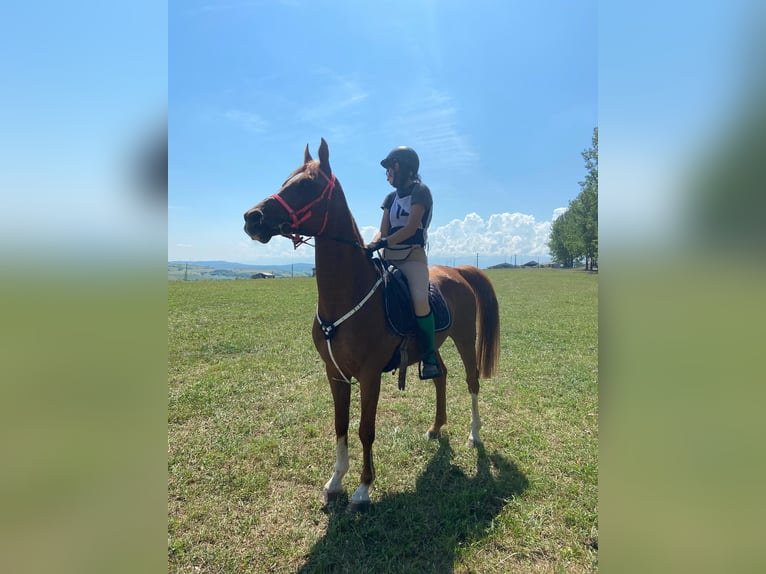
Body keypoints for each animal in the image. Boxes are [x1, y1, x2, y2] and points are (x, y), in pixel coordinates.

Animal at [243, 138, 500, 512]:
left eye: (307, 185)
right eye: (285, 182)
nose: (253, 217)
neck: (347, 295)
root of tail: (458, 271)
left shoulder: (369, 374)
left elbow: (366, 428)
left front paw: (363, 489)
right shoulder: (335, 373)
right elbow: (340, 424)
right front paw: (335, 481)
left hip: (466, 337)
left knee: (471, 381)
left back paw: (474, 434)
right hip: (433, 345)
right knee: (441, 375)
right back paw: (436, 428)